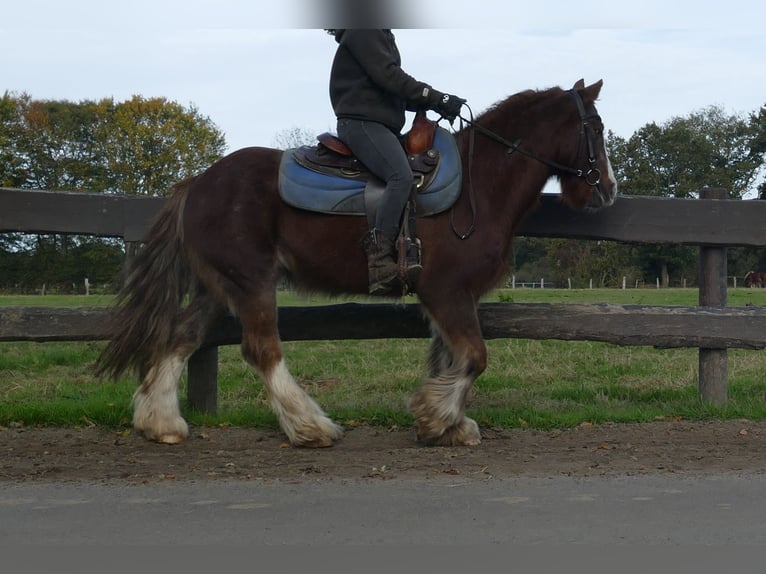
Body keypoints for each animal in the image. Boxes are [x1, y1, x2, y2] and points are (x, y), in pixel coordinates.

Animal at [99, 80, 620, 450]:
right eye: (594, 129)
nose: (608, 189)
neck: (479, 183)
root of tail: (196, 183)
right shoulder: (446, 291)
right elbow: (474, 356)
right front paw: (435, 419)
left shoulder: (449, 297)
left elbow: (449, 357)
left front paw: (448, 422)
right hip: (251, 281)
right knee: (262, 350)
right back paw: (311, 427)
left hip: (218, 285)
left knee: (180, 337)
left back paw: (161, 422)